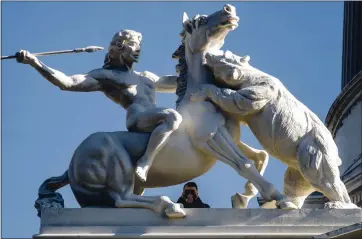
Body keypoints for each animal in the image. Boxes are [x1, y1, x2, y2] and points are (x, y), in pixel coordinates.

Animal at [36, 4, 288, 218]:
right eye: (200, 21)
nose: (229, 9)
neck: (199, 100)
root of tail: (70, 167)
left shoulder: (229, 137)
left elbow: (259, 156)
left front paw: (247, 197)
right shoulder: (209, 138)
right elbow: (244, 164)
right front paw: (281, 199)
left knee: (126, 200)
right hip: (119, 168)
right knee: (122, 198)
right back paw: (166, 202)